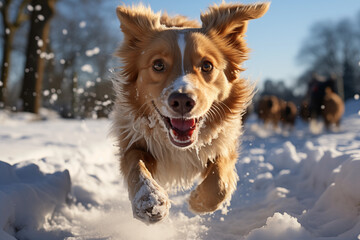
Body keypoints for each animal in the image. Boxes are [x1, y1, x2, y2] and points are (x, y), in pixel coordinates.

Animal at [112, 2, 270, 223]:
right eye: (158, 64)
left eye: (207, 65)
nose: (181, 100)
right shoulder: (133, 139)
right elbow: (137, 166)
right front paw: (150, 200)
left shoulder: (224, 141)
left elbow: (219, 183)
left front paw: (198, 201)